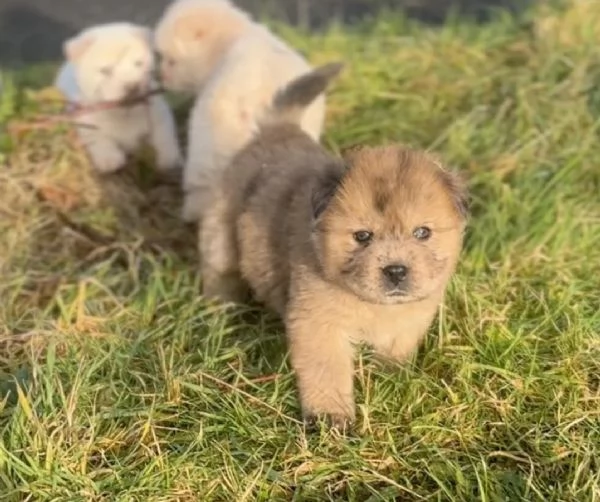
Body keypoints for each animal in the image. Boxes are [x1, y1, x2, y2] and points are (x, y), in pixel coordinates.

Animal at [56, 22, 183, 175]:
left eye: (138, 64)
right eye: (106, 70)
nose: (132, 86)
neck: (123, 113)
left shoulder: (158, 112)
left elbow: (163, 135)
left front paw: (169, 158)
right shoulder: (84, 116)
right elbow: (97, 137)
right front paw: (109, 159)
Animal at [202, 62, 468, 432]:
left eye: (422, 232)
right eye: (362, 236)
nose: (396, 270)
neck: (375, 307)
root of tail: (277, 129)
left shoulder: (408, 322)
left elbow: (396, 353)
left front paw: (393, 381)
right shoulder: (319, 325)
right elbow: (327, 373)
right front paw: (331, 419)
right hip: (221, 239)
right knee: (220, 276)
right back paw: (220, 315)